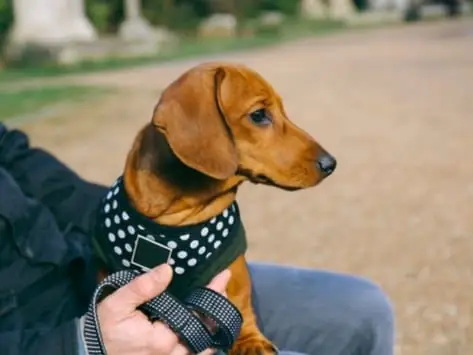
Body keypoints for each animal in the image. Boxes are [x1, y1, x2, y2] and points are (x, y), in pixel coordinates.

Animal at [100, 62, 336, 354]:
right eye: (259, 115)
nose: (331, 164)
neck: (175, 221)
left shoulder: (233, 270)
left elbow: (240, 305)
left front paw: (250, 341)